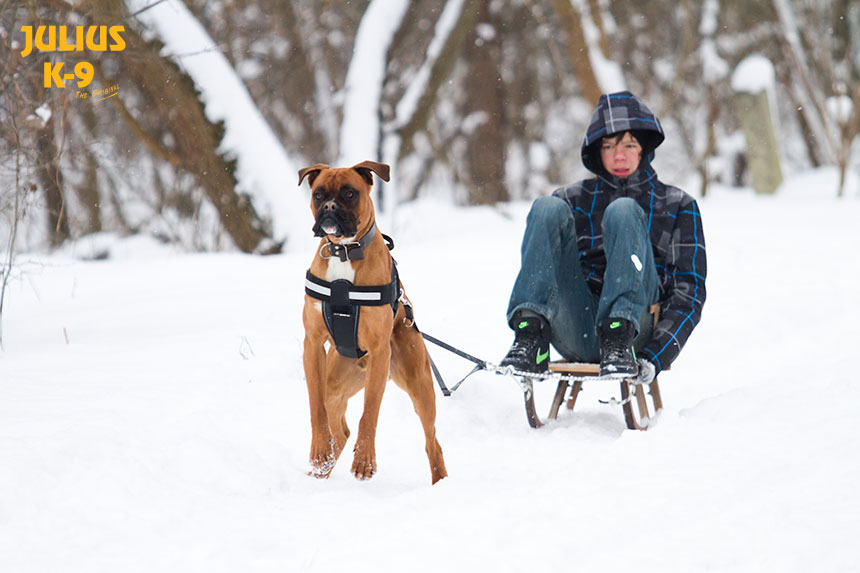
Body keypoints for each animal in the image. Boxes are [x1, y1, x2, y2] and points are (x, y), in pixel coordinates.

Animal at [298, 158, 446, 482]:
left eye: (349, 193)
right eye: (318, 193)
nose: (329, 207)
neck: (343, 251)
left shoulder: (379, 352)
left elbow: (370, 413)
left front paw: (365, 459)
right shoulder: (313, 346)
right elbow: (316, 408)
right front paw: (319, 451)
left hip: (419, 387)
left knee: (432, 443)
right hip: (336, 381)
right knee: (339, 430)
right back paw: (322, 466)